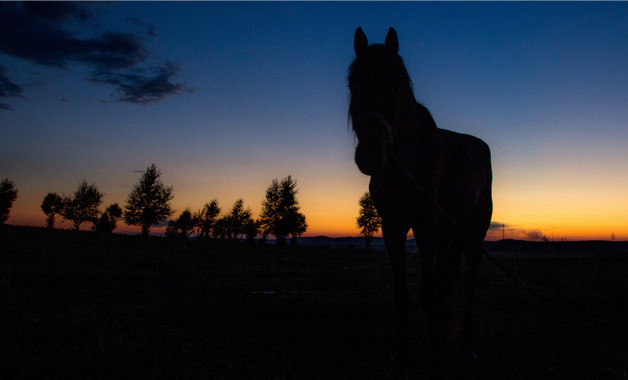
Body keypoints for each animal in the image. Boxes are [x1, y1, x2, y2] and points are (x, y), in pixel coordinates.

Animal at [348, 26, 490, 374]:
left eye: (395, 84)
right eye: (353, 84)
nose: (370, 155)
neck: (406, 160)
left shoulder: (426, 223)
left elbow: (428, 289)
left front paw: (436, 354)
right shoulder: (392, 226)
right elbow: (404, 290)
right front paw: (403, 353)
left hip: (475, 227)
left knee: (468, 280)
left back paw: (465, 345)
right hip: (450, 229)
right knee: (447, 277)